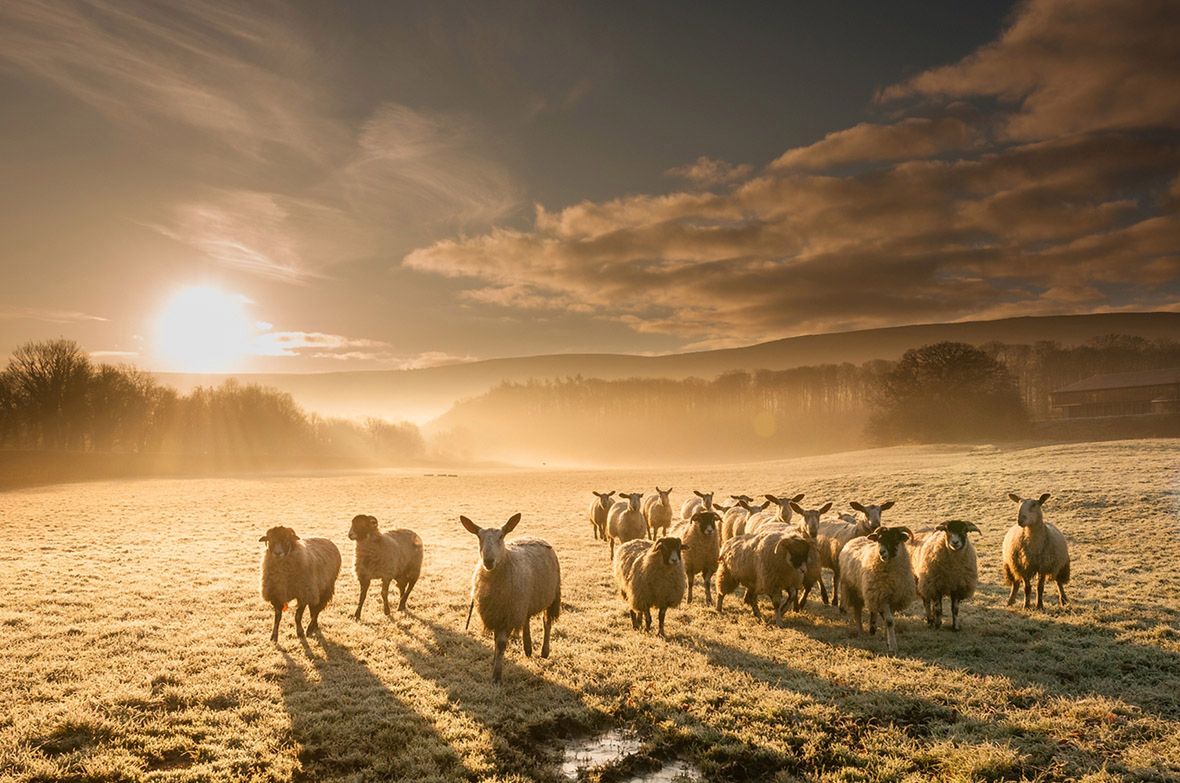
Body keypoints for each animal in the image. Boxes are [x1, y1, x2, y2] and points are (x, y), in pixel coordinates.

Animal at [457, 511, 559, 683]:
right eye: (479, 537)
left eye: (501, 536)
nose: (488, 561)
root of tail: (537, 537)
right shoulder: (497, 614)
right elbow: (495, 641)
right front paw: (494, 661)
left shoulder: (507, 616)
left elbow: (501, 643)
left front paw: (496, 676)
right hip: (524, 601)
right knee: (526, 620)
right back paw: (528, 648)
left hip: (550, 597)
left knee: (547, 622)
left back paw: (544, 651)